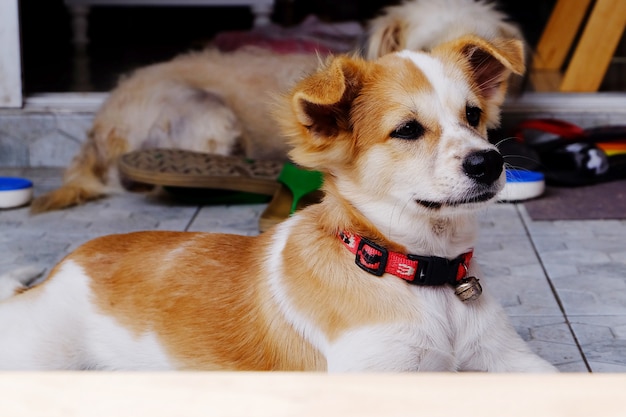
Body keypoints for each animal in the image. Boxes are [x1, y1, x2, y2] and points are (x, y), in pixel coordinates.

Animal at [1, 35, 556, 370]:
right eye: (407, 130)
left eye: (474, 115)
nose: (489, 163)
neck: (422, 274)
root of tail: (59, 270)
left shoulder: (514, 361)